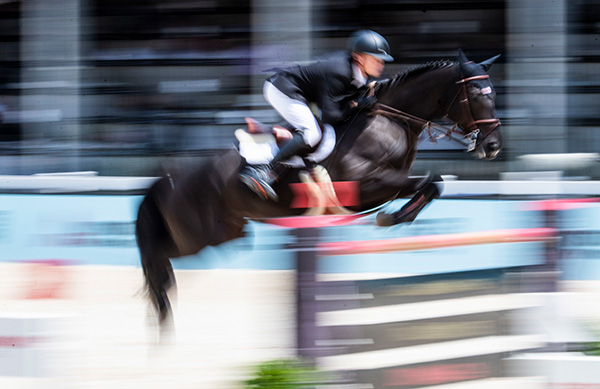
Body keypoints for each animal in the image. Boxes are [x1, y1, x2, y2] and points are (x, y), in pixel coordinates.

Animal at [135, 48, 502, 328]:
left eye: (494, 94)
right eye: (475, 95)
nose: (493, 146)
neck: (390, 119)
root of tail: (170, 179)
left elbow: (434, 184)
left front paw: (396, 217)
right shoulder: (366, 186)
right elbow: (428, 182)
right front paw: (390, 218)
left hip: (226, 233)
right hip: (197, 236)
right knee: (158, 258)